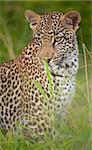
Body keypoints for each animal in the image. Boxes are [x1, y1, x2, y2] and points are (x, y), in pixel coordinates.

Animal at [0, 9, 80, 138]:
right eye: (39, 40)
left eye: (57, 39)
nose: (46, 59)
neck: (66, 69)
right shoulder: (38, 119)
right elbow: (51, 139)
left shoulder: (60, 111)